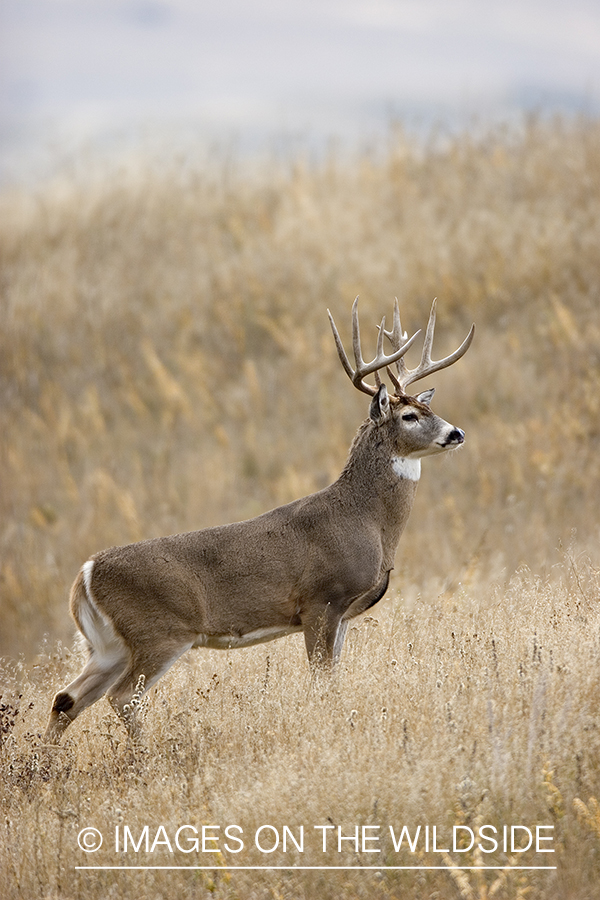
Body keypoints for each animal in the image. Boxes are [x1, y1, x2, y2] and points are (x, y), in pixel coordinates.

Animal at [43, 298, 474, 740]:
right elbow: (322, 683)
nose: (455, 433)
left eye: (429, 407)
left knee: (66, 698)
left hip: (109, 645)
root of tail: (86, 574)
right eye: (408, 417)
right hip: (159, 632)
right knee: (122, 697)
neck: (366, 521)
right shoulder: (322, 599)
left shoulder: (344, 613)